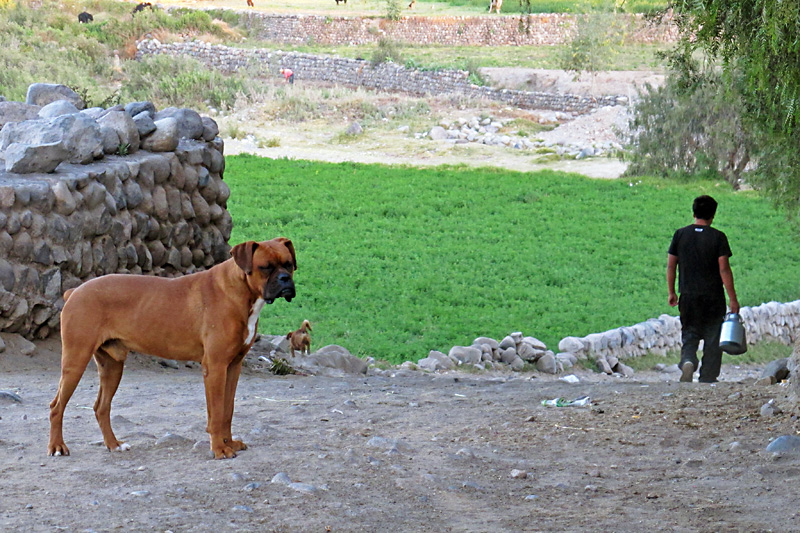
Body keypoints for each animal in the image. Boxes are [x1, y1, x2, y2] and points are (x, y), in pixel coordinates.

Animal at [47, 237, 296, 458]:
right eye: (265, 267)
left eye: (289, 264)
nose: (285, 279)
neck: (240, 291)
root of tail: (75, 291)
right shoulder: (215, 367)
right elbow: (216, 413)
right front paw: (219, 449)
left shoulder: (233, 367)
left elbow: (228, 410)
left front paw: (229, 442)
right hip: (75, 361)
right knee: (56, 406)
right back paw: (58, 447)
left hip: (112, 366)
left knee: (101, 407)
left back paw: (114, 445)